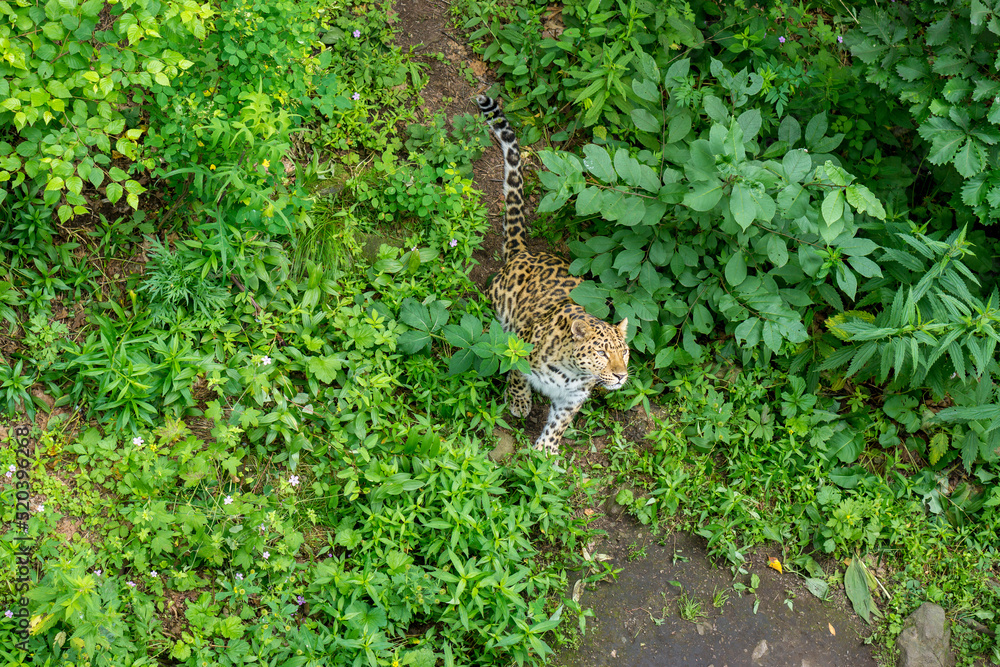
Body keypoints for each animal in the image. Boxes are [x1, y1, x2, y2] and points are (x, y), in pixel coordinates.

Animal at [476, 94, 630, 456]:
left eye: (625, 353)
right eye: (602, 354)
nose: (620, 376)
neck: (572, 373)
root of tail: (524, 251)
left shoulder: (573, 397)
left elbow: (560, 422)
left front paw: (545, 452)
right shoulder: (521, 347)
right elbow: (517, 376)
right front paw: (519, 403)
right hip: (499, 301)